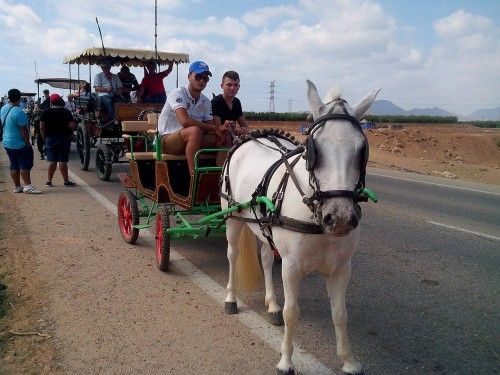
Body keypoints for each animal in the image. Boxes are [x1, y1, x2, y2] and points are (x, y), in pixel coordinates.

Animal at [221, 81, 380, 375]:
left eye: (361, 150)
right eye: (314, 148)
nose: (340, 218)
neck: (316, 217)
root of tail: (249, 139)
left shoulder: (342, 269)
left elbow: (340, 315)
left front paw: (348, 361)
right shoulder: (292, 266)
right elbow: (292, 312)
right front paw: (286, 361)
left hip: (264, 227)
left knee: (265, 257)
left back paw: (271, 303)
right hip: (232, 218)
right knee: (232, 255)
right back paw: (231, 298)